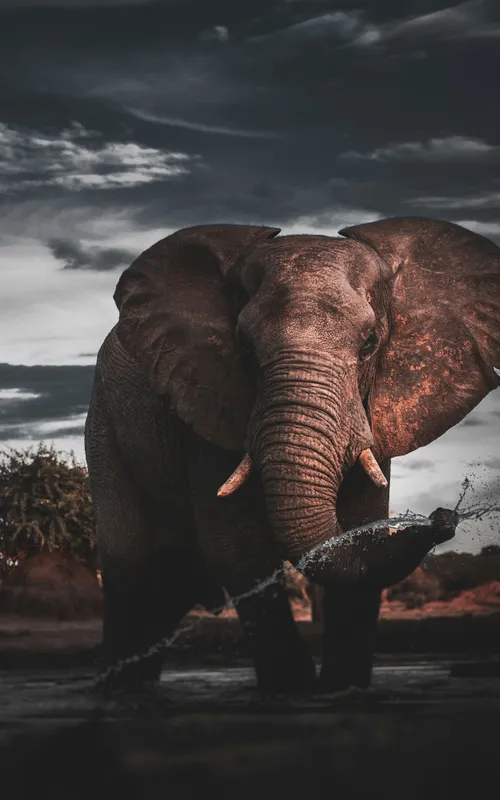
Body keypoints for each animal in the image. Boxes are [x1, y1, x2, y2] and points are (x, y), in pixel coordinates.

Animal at [85, 216, 500, 693]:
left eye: (370, 343)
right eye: (244, 347)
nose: (443, 518)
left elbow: (360, 528)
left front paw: (343, 688)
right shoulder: (207, 402)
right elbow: (238, 549)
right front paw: (295, 691)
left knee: (174, 582)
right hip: (105, 427)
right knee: (130, 567)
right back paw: (118, 691)